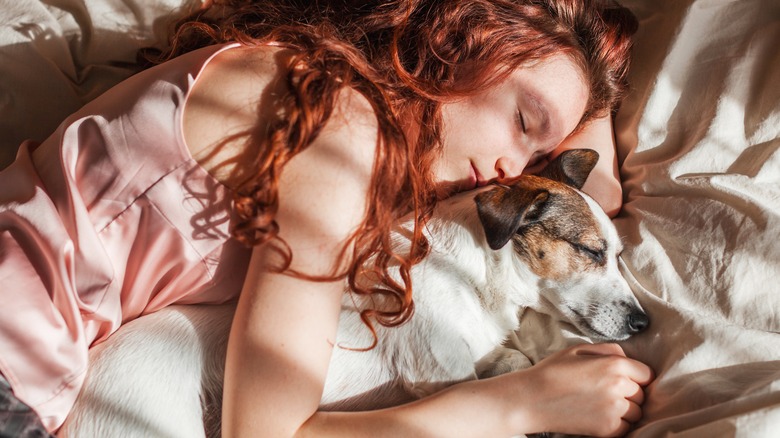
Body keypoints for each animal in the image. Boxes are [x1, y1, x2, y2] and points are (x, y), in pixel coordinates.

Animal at [58, 149, 648, 436]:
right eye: (592, 251)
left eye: (620, 253)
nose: (645, 324)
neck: (476, 273)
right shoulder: (443, 380)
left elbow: (512, 359)